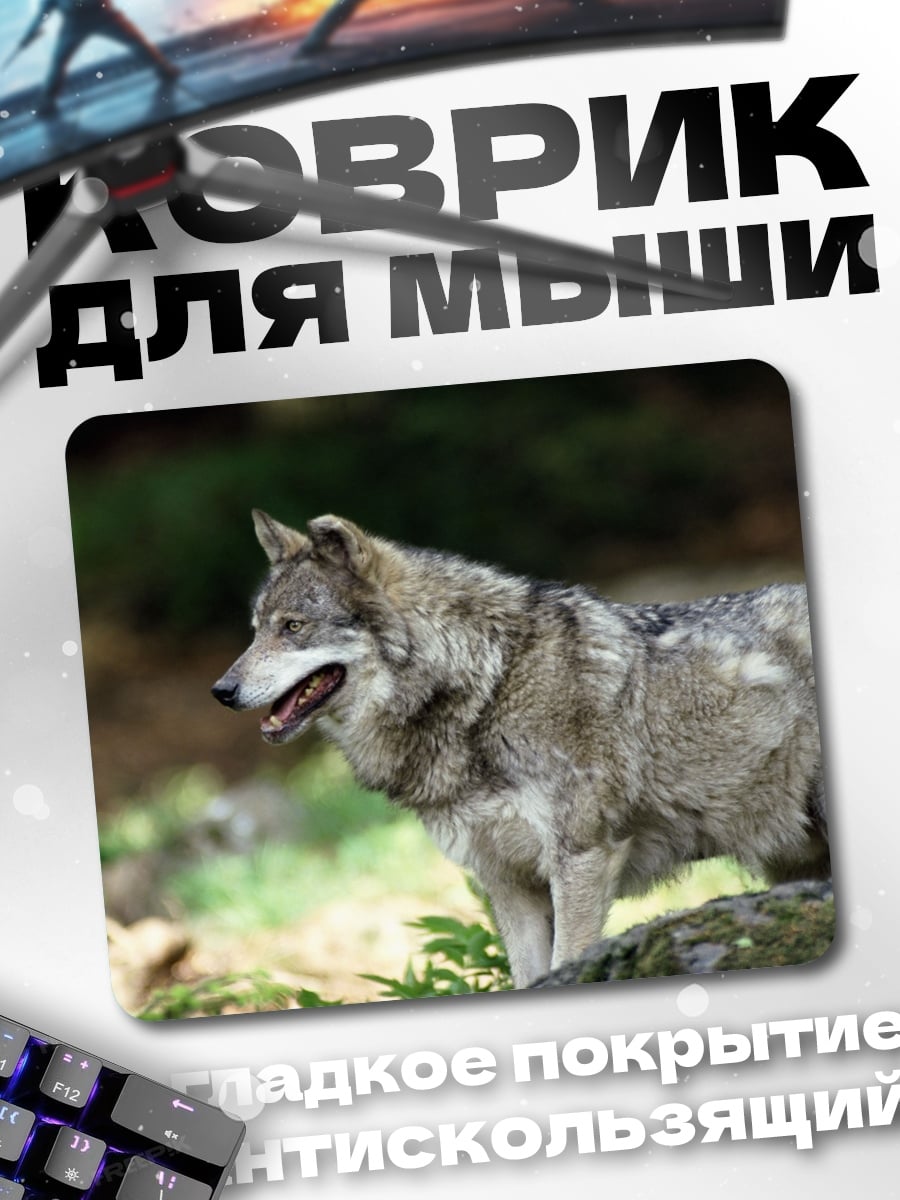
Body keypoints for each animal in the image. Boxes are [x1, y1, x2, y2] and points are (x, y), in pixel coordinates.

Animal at [212, 511, 829, 988]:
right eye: (256, 629)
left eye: (294, 627)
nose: (222, 691)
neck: (488, 685)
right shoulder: (507, 882)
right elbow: (528, 976)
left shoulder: (581, 858)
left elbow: (564, 965)